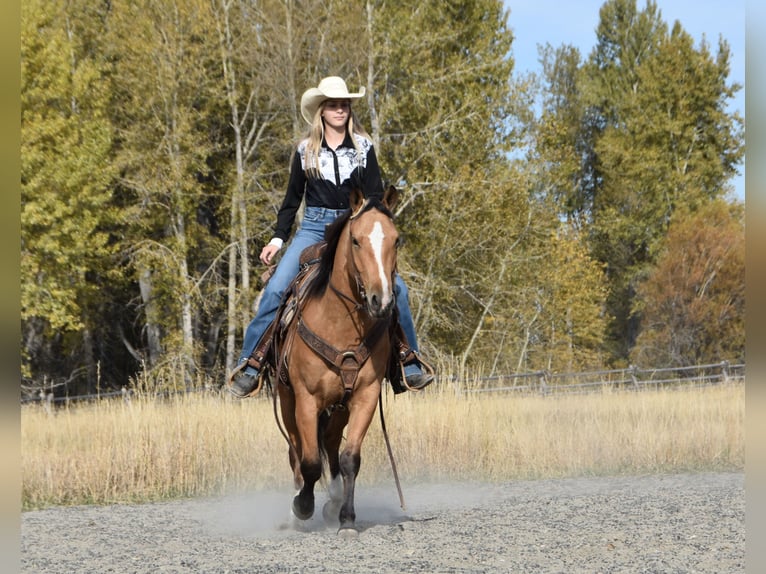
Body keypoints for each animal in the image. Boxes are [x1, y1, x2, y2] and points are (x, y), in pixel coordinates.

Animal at [272, 184, 401, 536]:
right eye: (356, 240)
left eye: (397, 239)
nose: (382, 301)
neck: (340, 326)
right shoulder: (305, 399)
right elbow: (309, 462)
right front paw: (301, 507)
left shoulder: (365, 395)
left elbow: (349, 459)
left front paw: (346, 518)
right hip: (287, 401)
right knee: (296, 451)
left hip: (339, 407)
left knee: (329, 443)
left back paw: (332, 501)